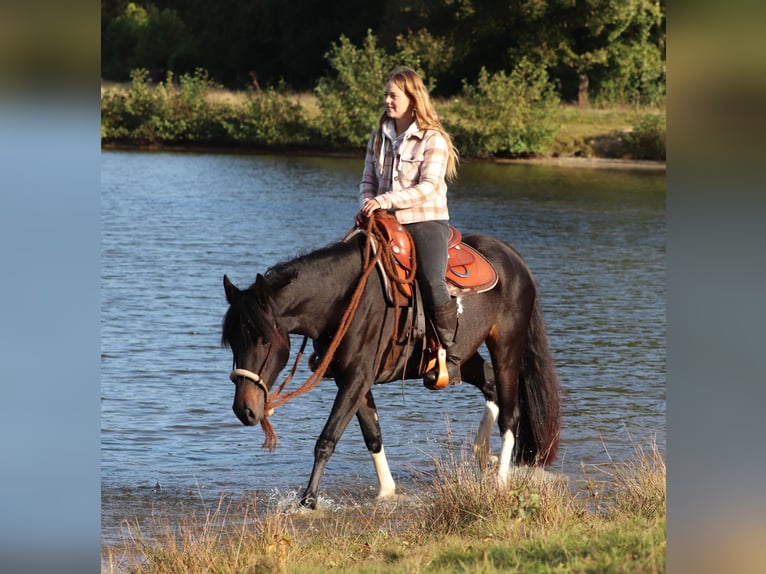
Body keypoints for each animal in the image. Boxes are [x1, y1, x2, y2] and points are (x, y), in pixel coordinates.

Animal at [222, 223, 564, 510]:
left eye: (263, 340)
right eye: (232, 341)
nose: (244, 410)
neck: (344, 299)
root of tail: (514, 258)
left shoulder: (357, 378)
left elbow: (326, 440)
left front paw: (307, 503)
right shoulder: (352, 381)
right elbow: (373, 435)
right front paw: (386, 493)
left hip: (507, 345)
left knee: (510, 413)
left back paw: (500, 482)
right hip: (466, 358)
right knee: (491, 386)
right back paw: (481, 452)